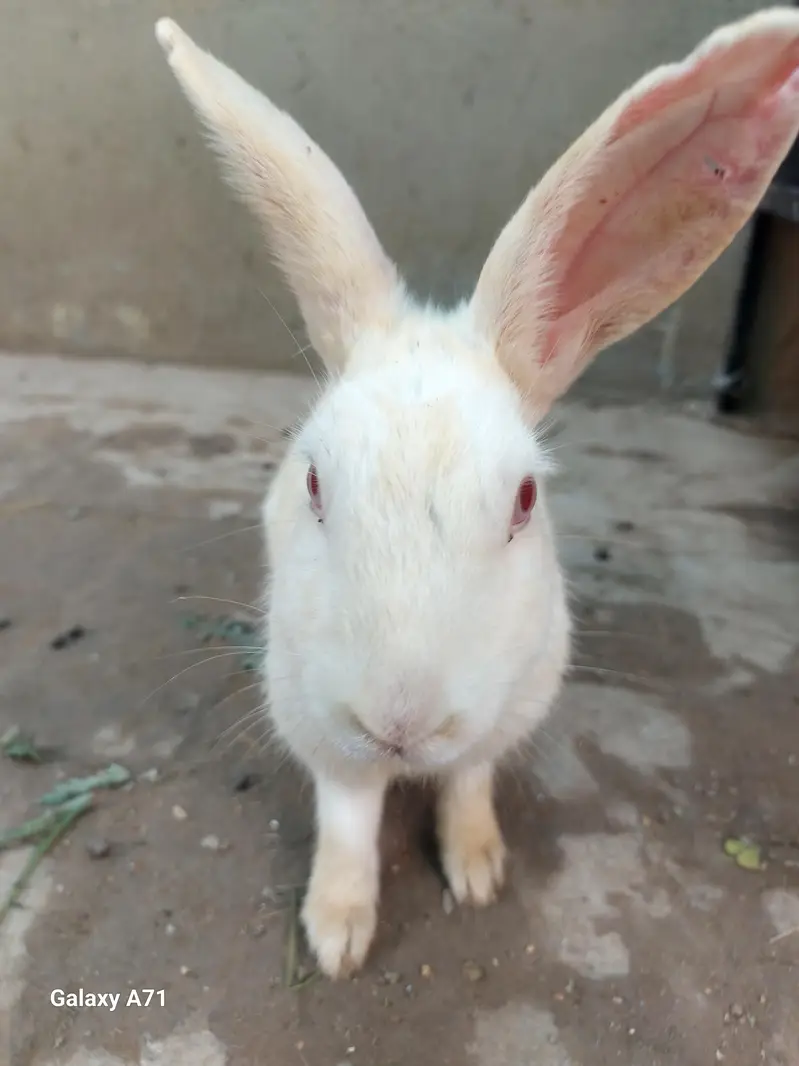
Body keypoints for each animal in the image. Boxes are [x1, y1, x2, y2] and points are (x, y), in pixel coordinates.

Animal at [155, 9, 799, 979]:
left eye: (525, 500)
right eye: (312, 479)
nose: (398, 718)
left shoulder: (503, 717)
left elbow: (466, 786)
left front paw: (478, 870)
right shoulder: (320, 731)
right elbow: (347, 824)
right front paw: (337, 934)